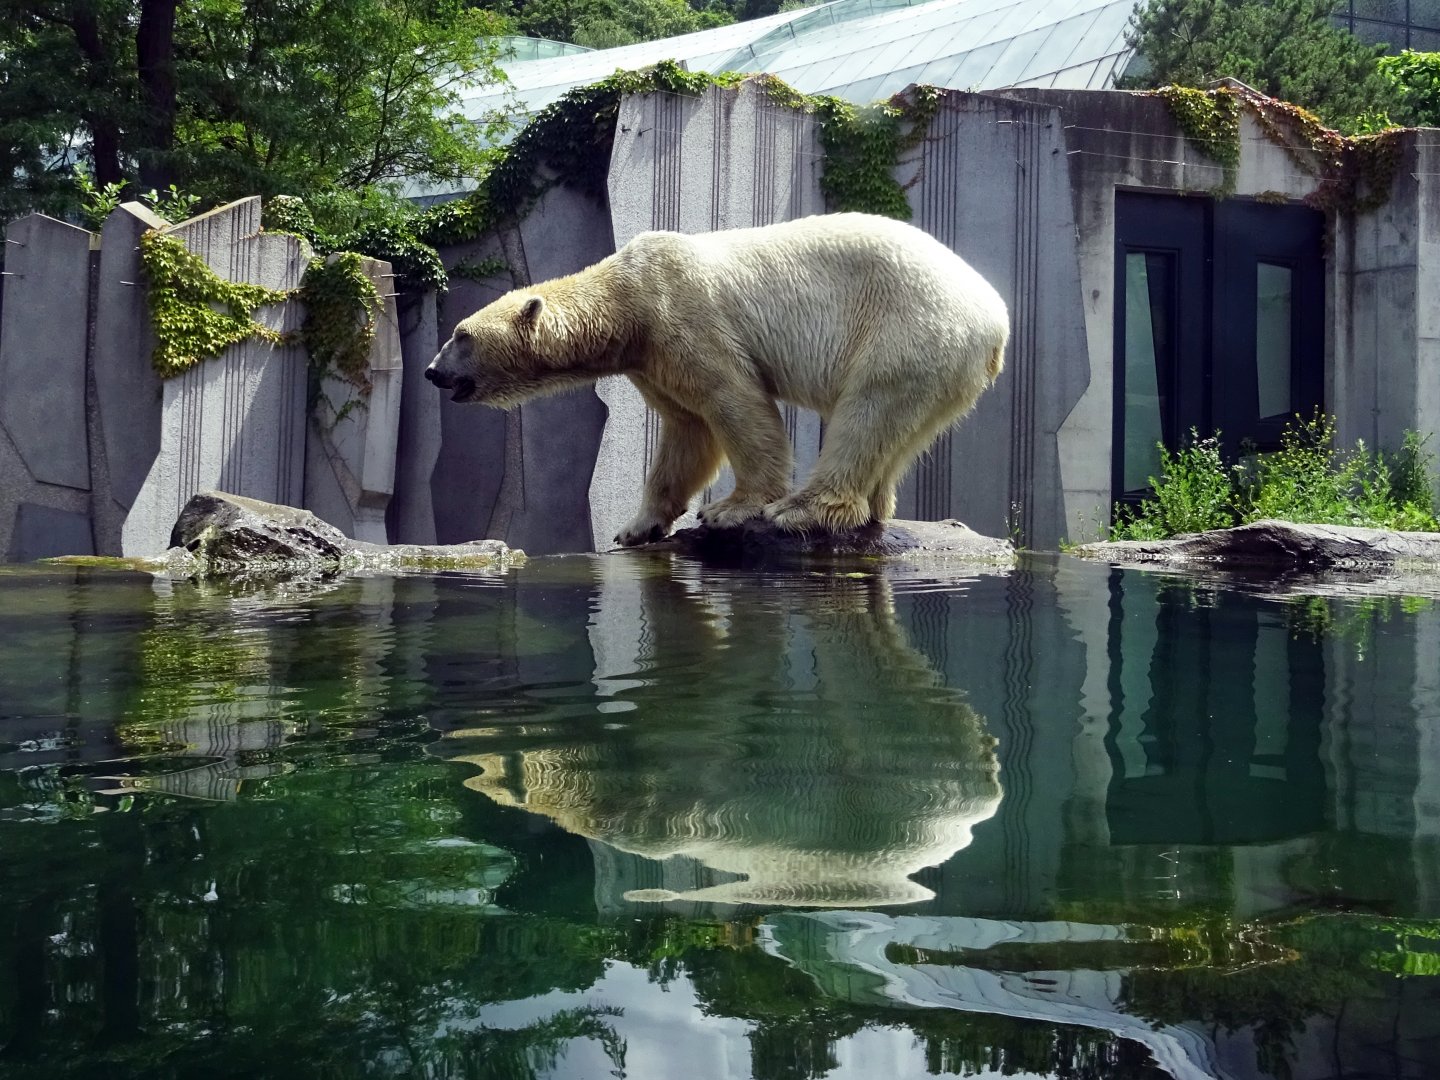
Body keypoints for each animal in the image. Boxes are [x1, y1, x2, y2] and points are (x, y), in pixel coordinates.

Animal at [426, 212, 1009, 547]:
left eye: (460, 334)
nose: (432, 372)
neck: (625, 299)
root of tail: (996, 320)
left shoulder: (682, 313)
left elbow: (734, 401)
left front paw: (729, 510)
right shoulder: (651, 358)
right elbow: (687, 431)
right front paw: (637, 526)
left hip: (906, 329)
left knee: (866, 413)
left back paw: (799, 509)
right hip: (942, 366)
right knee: (897, 434)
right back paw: (872, 509)